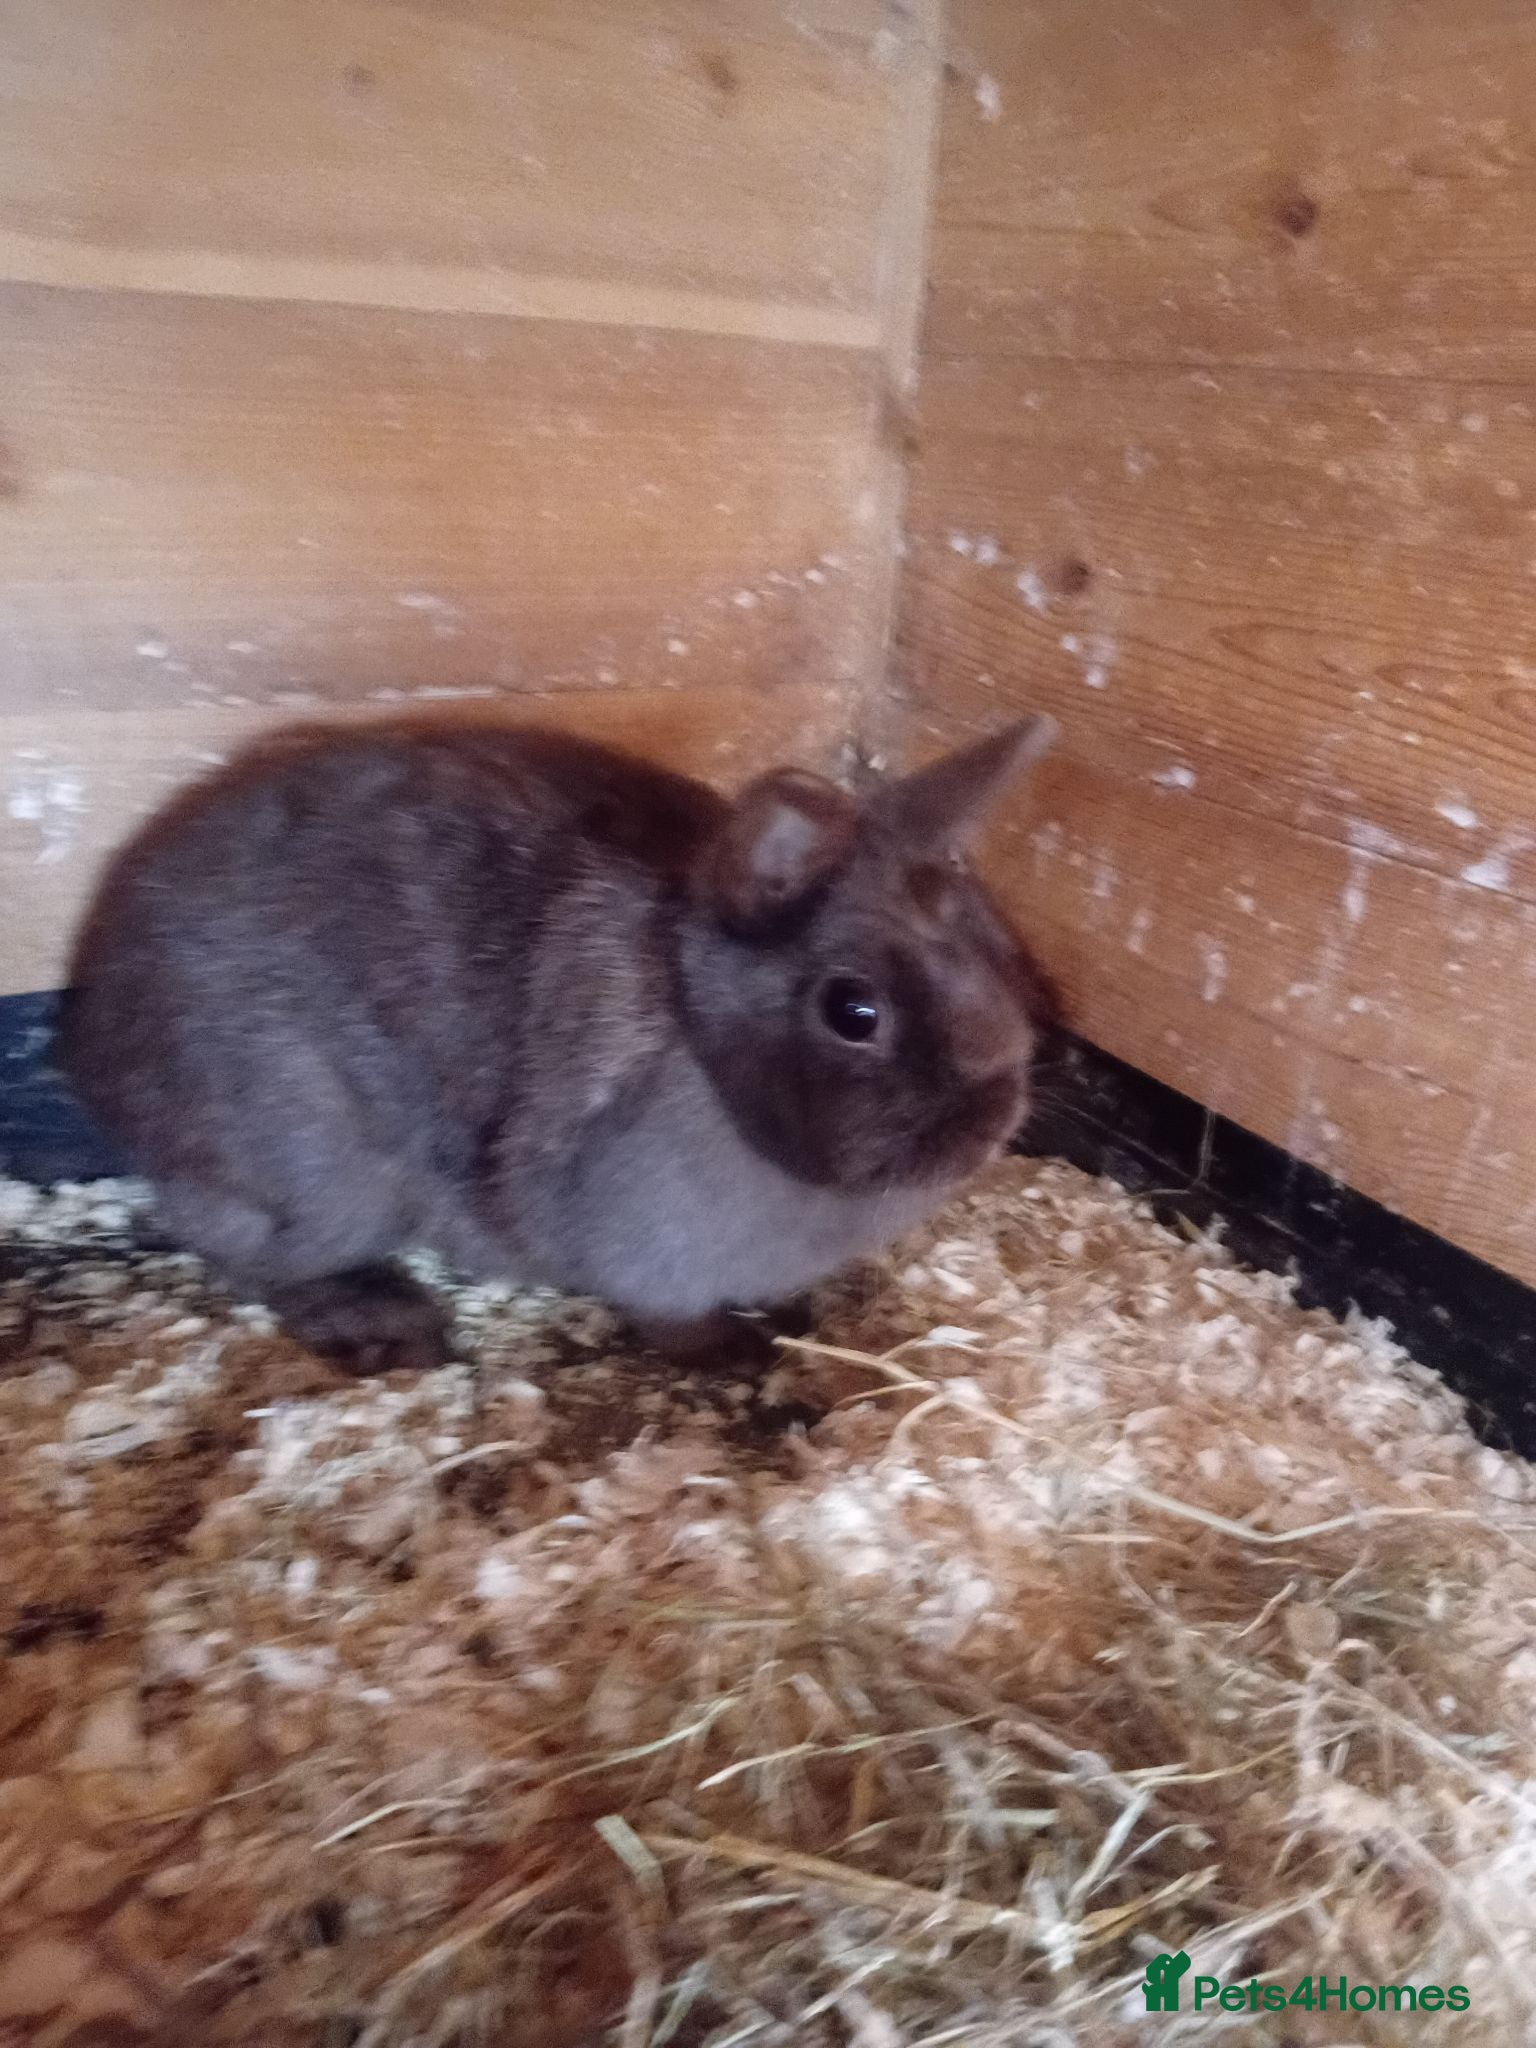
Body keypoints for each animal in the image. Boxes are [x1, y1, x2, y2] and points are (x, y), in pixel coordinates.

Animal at [57, 711, 1059, 1376]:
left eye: (998, 942)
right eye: (854, 1011)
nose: (988, 1122)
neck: (696, 1042)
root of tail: (96, 1034)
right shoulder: (647, 1250)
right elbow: (669, 1318)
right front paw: (736, 1349)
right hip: (319, 1175)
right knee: (244, 1254)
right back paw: (387, 1324)